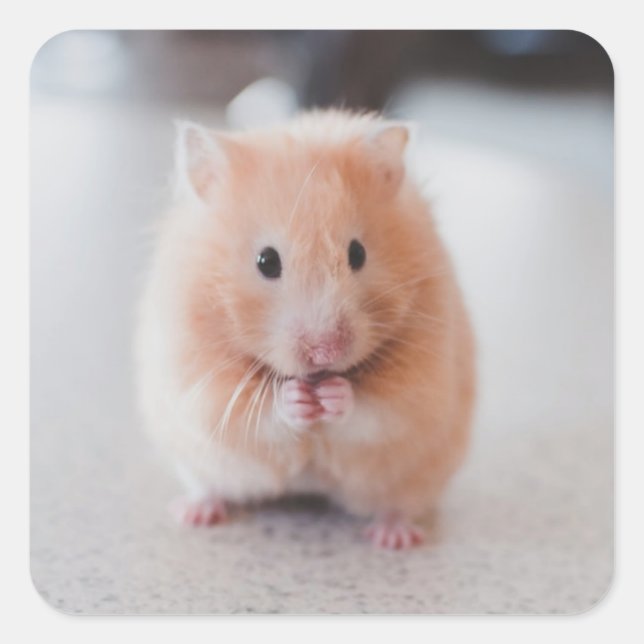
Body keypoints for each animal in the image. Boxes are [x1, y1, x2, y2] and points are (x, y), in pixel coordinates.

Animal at [134, 109, 475, 549]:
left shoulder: (421, 384)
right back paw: (194, 513)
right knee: (209, 486)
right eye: (266, 261)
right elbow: (255, 413)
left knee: (398, 504)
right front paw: (297, 398)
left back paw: (394, 537)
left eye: (358, 253)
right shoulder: (200, 382)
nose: (325, 353)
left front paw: (333, 395)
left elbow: (377, 410)